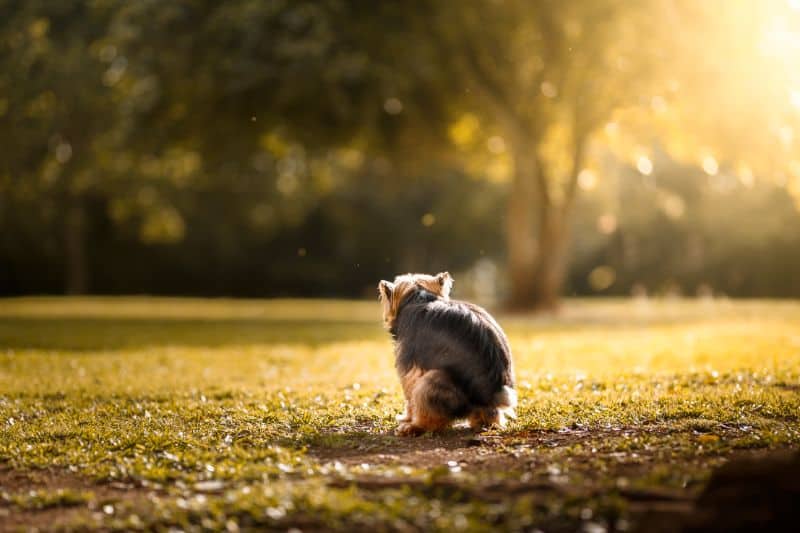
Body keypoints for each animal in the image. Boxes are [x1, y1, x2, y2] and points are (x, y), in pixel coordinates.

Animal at [376, 272, 516, 434]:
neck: (420, 298)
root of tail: (494, 394)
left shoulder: (410, 370)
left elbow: (409, 398)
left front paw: (407, 418)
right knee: (490, 415)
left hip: (431, 381)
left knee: (430, 415)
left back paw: (415, 427)